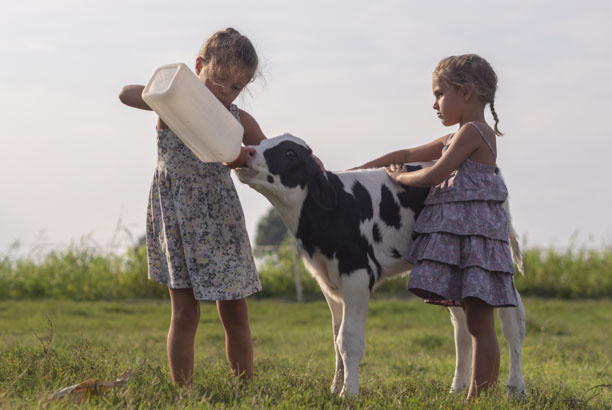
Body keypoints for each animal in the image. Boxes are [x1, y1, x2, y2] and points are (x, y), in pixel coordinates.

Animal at [234, 136, 524, 398]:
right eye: (262, 142)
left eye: (290, 153)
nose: (247, 151)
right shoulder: (328, 282)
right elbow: (336, 339)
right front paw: (335, 389)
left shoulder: (357, 273)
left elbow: (349, 338)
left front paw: (349, 394)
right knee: (461, 326)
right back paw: (457, 388)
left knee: (512, 322)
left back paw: (516, 388)